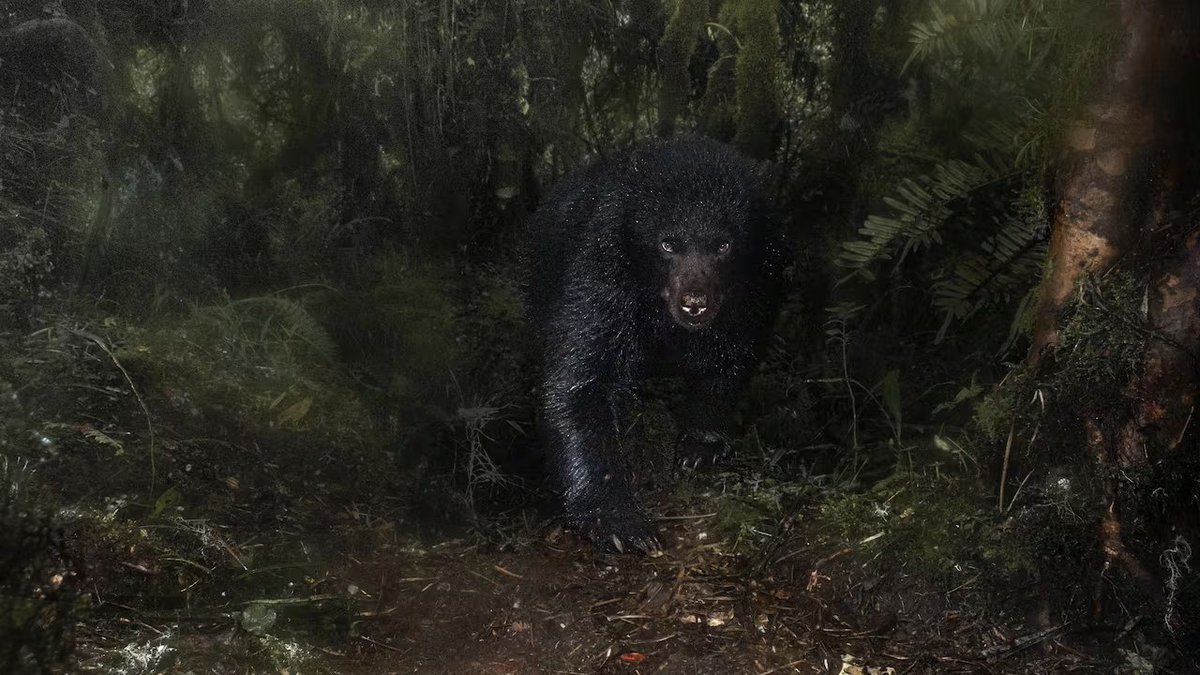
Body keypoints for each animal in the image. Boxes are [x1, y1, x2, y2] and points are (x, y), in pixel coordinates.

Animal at [526, 136, 788, 554]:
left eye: (723, 244)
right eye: (668, 244)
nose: (695, 302)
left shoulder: (758, 280)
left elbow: (733, 353)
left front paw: (701, 446)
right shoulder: (602, 271)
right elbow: (577, 381)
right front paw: (620, 522)